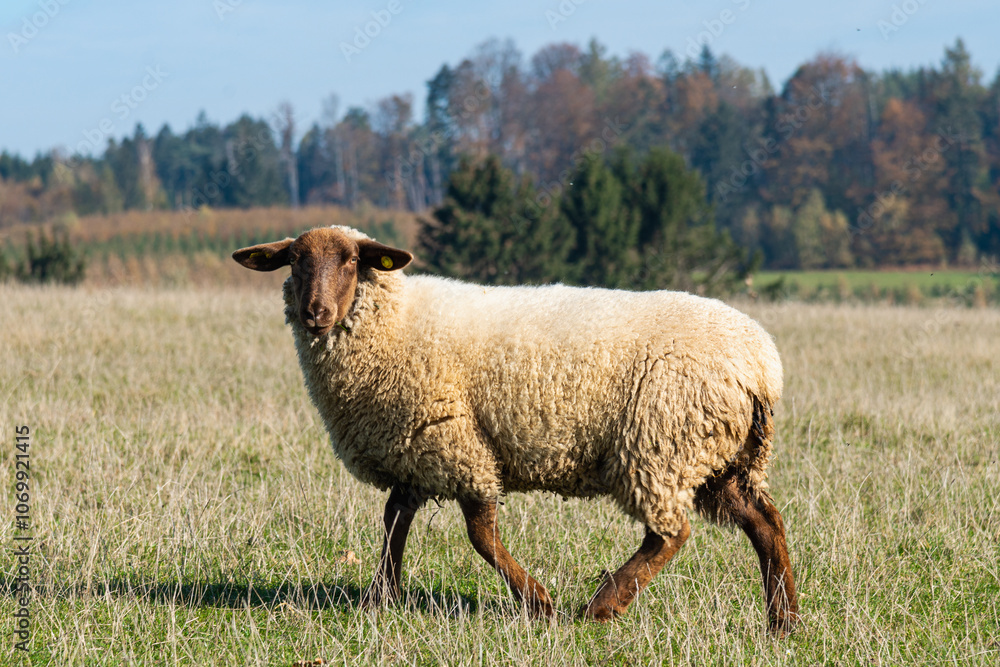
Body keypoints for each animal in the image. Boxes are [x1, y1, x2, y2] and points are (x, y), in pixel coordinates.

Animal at [233, 225, 799, 634]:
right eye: (295, 260)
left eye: (352, 261)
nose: (316, 312)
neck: (392, 323)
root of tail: (762, 365)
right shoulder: (416, 448)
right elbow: (395, 520)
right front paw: (380, 597)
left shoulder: (455, 441)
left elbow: (479, 534)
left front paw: (537, 602)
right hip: (723, 456)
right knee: (764, 523)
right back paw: (783, 620)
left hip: (662, 442)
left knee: (670, 532)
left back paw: (603, 605)